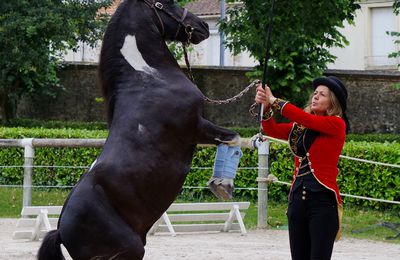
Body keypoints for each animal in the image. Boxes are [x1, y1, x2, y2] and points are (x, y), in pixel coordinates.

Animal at [37, 0, 238, 260]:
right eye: (168, 3)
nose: (203, 26)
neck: (148, 78)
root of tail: (61, 231)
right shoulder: (197, 127)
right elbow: (234, 138)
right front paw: (223, 185)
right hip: (131, 249)